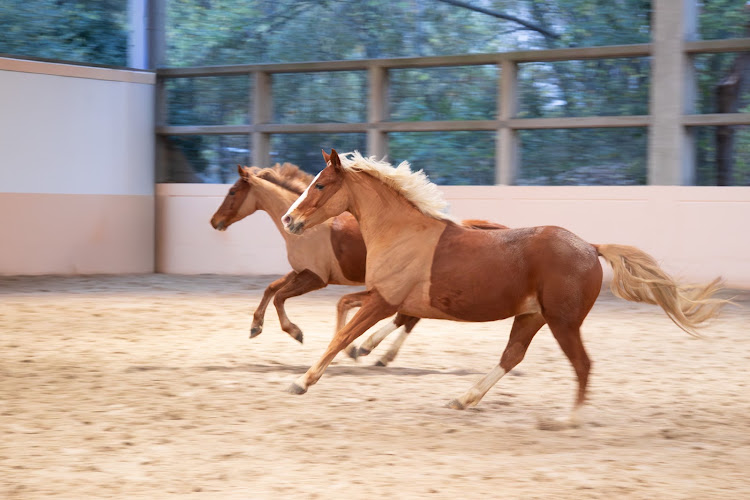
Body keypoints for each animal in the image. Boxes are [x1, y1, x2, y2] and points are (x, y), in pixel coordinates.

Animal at [210, 163, 507, 366]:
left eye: (232, 191)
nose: (214, 221)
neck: (312, 228)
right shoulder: (301, 271)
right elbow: (271, 288)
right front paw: (255, 327)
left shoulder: (315, 278)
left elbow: (280, 296)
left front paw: (296, 332)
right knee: (408, 318)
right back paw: (376, 353)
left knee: (407, 318)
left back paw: (370, 350)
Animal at [281, 149, 727, 424]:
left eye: (320, 185)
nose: (289, 220)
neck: (402, 232)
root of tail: (590, 246)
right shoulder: (381, 298)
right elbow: (345, 315)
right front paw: (345, 352)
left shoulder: (385, 301)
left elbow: (343, 334)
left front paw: (303, 381)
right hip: (531, 316)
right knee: (512, 356)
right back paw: (463, 398)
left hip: (563, 322)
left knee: (581, 365)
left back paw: (567, 420)